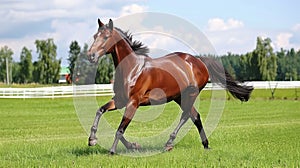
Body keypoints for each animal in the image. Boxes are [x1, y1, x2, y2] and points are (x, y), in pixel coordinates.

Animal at [86, 18, 253, 155]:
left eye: (106, 37)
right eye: (95, 36)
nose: (91, 56)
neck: (133, 69)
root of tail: (199, 61)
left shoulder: (133, 102)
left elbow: (120, 129)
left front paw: (112, 151)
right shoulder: (120, 100)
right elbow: (100, 110)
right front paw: (94, 139)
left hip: (190, 95)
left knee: (186, 115)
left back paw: (169, 143)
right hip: (179, 97)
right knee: (195, 116)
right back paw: (205, 145)